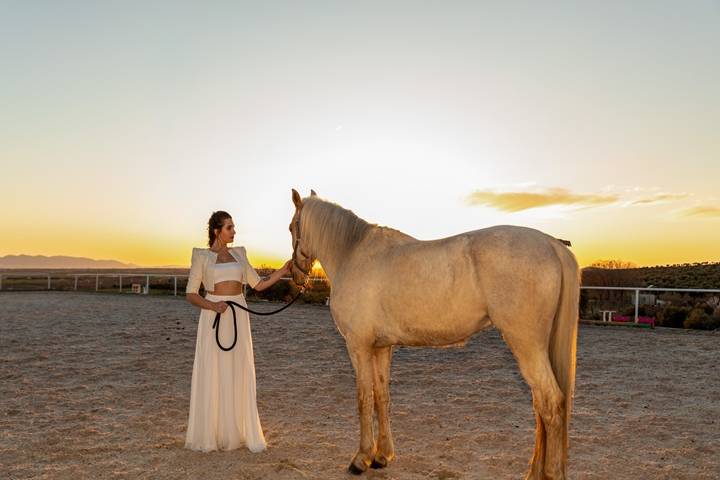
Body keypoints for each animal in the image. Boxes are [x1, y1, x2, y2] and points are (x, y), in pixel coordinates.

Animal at [288, 189, 580, 480]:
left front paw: (361, 459)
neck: (353, 254)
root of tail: (551, 244)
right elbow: (381, 397)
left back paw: (550, 472)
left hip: (527, 346)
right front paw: (382, 456)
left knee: (550, 404)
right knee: (540, 405)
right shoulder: (381, 347)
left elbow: (364, 399)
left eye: (292, 227)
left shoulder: (358, 346)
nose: (296, 275)